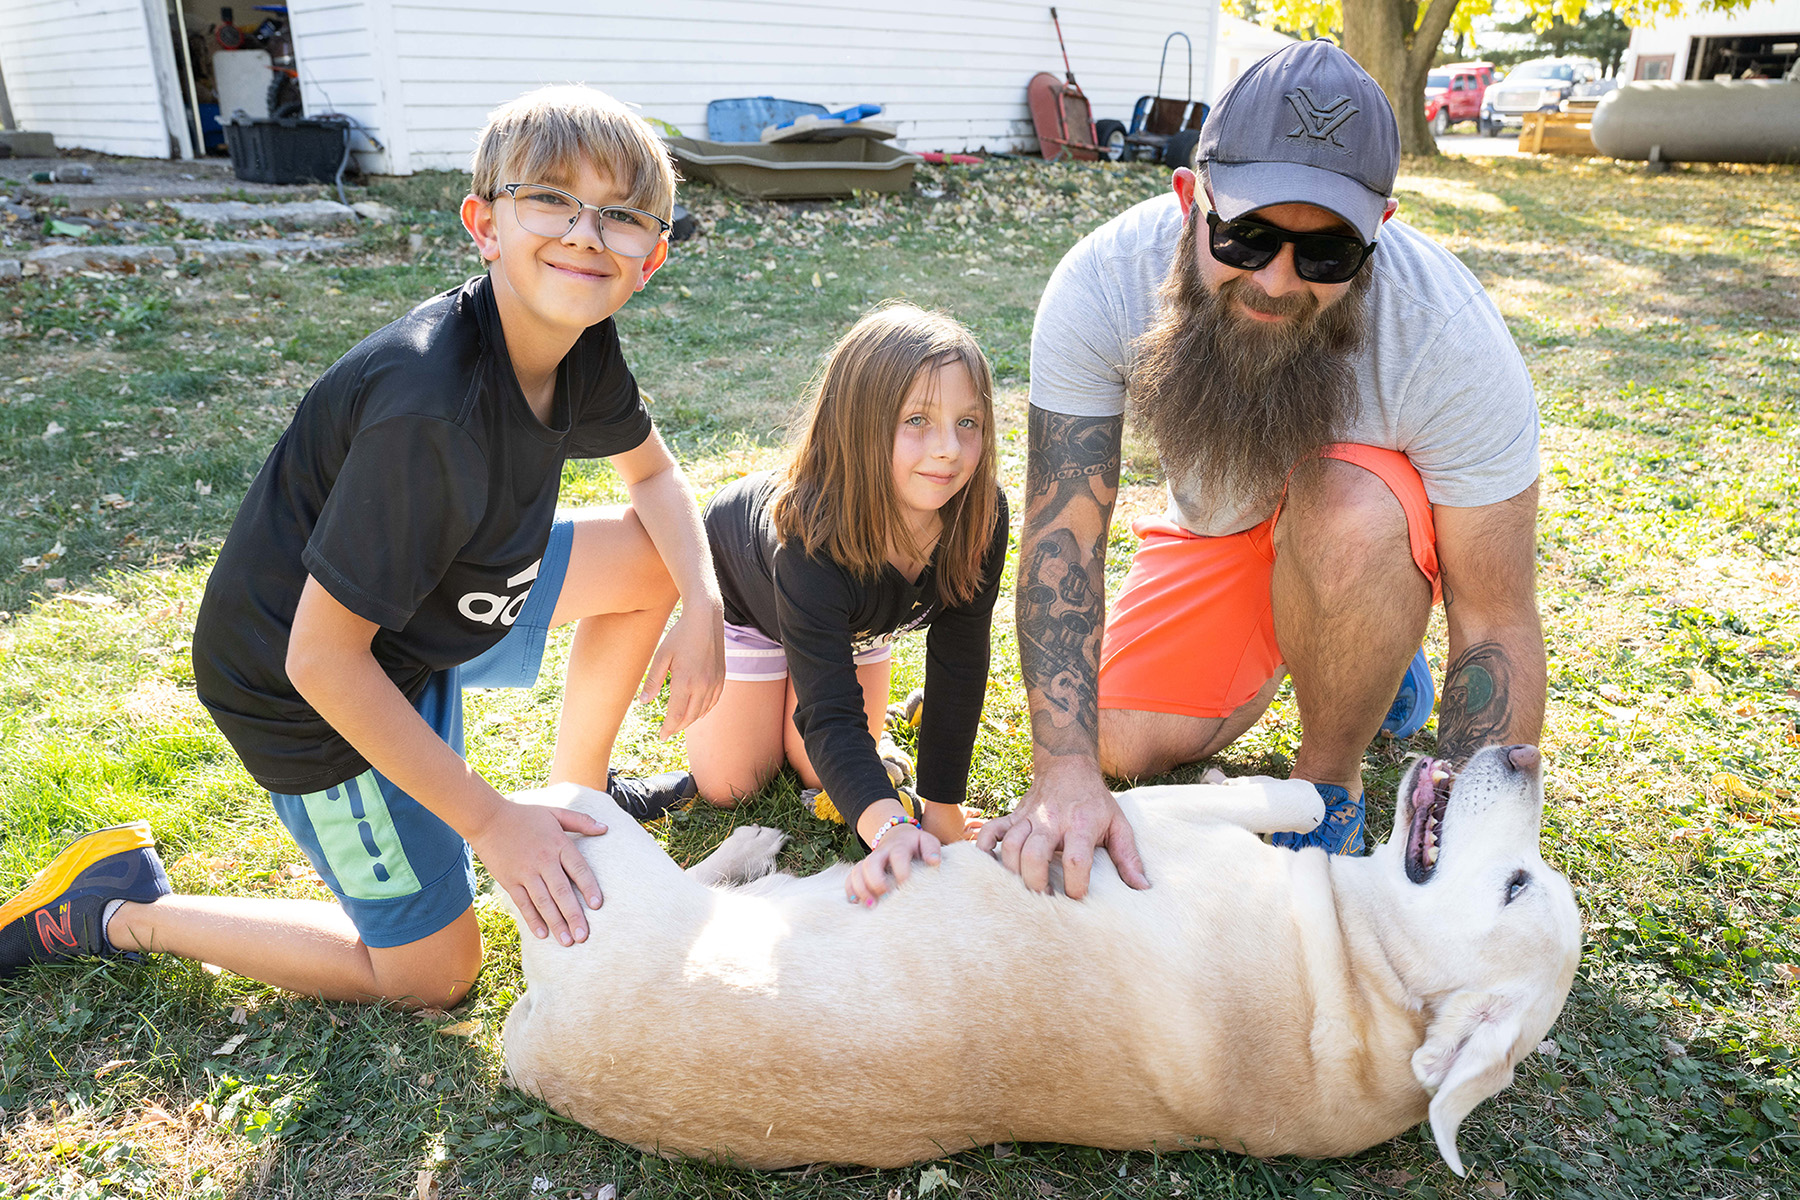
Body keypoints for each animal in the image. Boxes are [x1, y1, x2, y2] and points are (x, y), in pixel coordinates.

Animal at [500, 744, 1584, 1180]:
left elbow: (1279, 800)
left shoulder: (1138, 820)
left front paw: (1295, 798)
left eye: (1515, 886)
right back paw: (752, 851)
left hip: (574, 823)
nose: (1525, 753)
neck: (1369, 979)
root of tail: (532, 1045)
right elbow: (1286, 801)